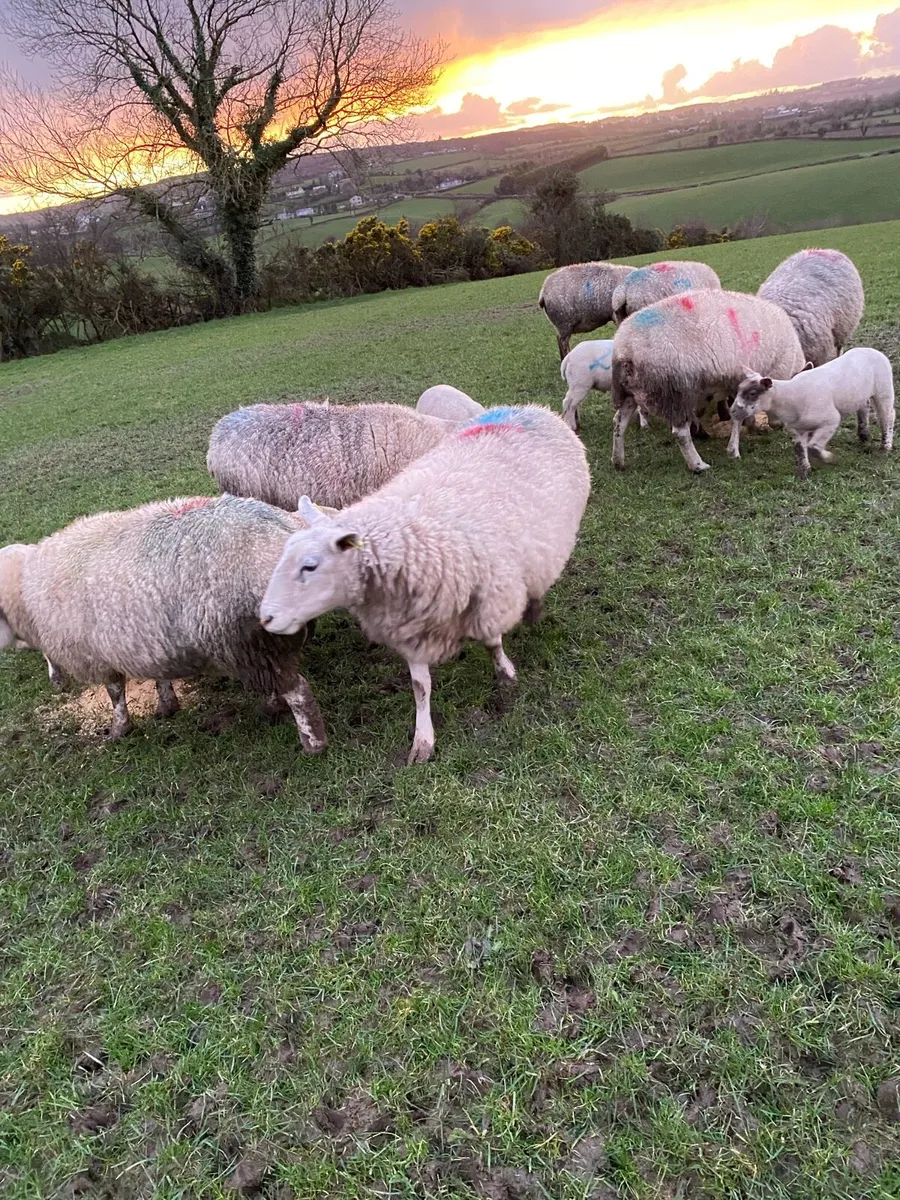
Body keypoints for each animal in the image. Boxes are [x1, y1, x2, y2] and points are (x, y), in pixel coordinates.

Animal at [0, 495, 327, 749]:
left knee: (298, 691)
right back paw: (272, 708)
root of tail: (282, 530)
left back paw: (313, 743)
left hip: (250, 640)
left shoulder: (96, 657)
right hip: (260, 643)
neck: (27, 588)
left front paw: (119, 730)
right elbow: (160, 676)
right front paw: (166, 705)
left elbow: (115, 694)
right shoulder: (151, 639)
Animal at [260, 405, 590, 765]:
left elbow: (492, 642)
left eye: (310, 565)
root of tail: (530, 409)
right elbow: (420, 687)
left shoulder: (491, 595)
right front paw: (423, 740)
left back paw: (534, 609)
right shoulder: (410, 626)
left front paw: (506, 674)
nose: (265, 618)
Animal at [611, 289, 805, 473]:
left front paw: (748, 426)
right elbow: (737, 416)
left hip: (629, 390)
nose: (780, 426)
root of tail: (626, 347)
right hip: (676, 390)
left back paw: (618, 461)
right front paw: (734, 450)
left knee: (619, 421)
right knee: (680, 432)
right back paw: (697, 465)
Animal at [727, 348, 895, 479]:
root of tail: (872, 350)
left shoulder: (830, 420)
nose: (732, 411)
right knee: (864, 407)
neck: (789, 397)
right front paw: (804, 471)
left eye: (753, 393)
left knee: (888, 416)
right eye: (739, 390)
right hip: (861, 394)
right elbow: (800, 449)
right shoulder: (797, 429)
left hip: (884, 390)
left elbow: (813, 447)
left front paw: (829, 459)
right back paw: (864, 434)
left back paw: (885, 447)